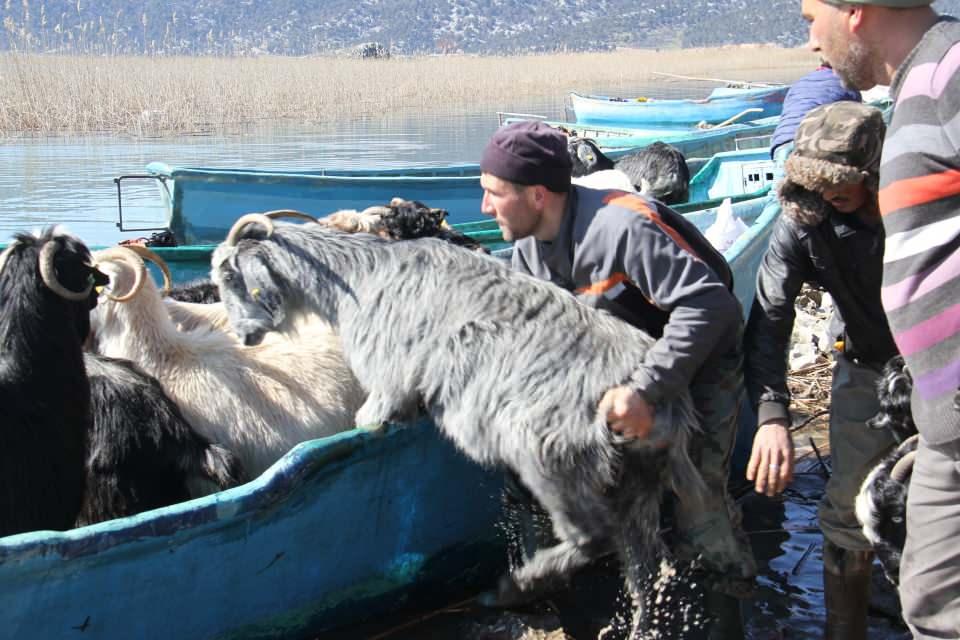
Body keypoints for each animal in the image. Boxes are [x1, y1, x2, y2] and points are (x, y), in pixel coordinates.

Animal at [210, 216, 704, 636]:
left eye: (230, 278)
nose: (246, 337)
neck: (358, 277)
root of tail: (665, 408)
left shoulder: (388, 379)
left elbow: (372, 416)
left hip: (551, 456)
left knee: (592, 536)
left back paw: (514, 587)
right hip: (637, 486)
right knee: (645, 568)